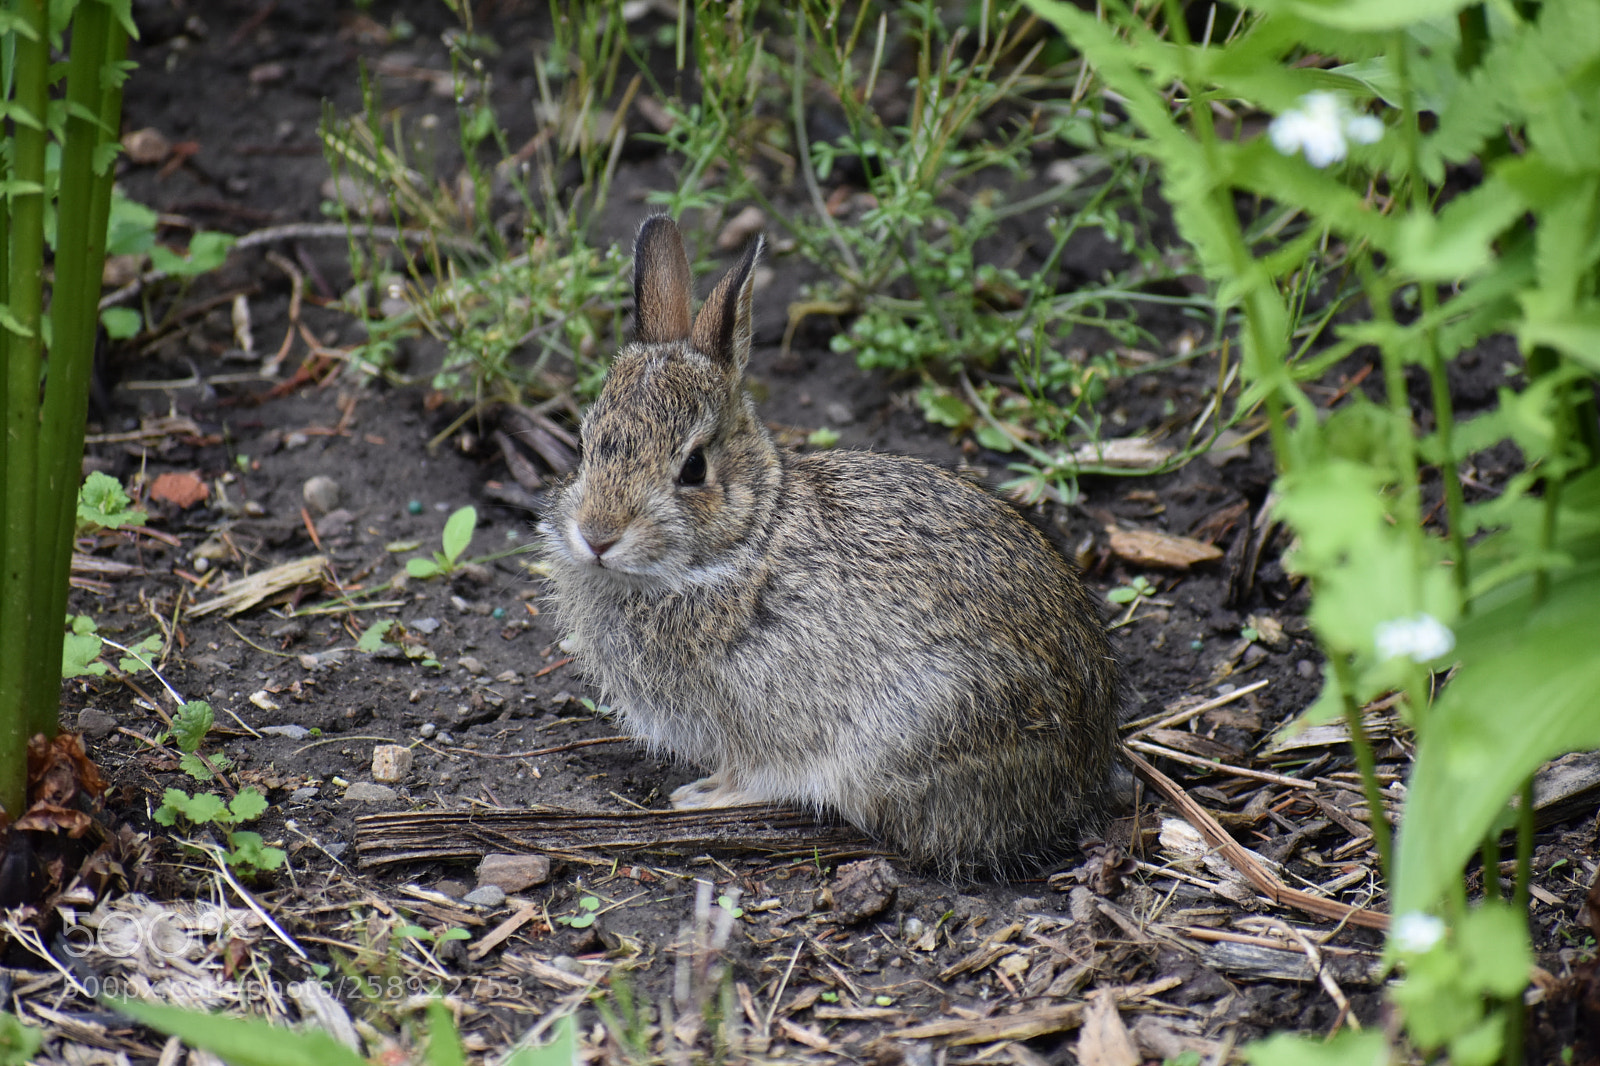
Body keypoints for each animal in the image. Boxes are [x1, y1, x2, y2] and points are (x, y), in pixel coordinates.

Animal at [541, 215, 1122, 874]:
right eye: (584, 445)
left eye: (693, 469)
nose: (597, 535)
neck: (744, 543)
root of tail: (1082, 773)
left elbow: (750, 773)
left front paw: (702, 797)